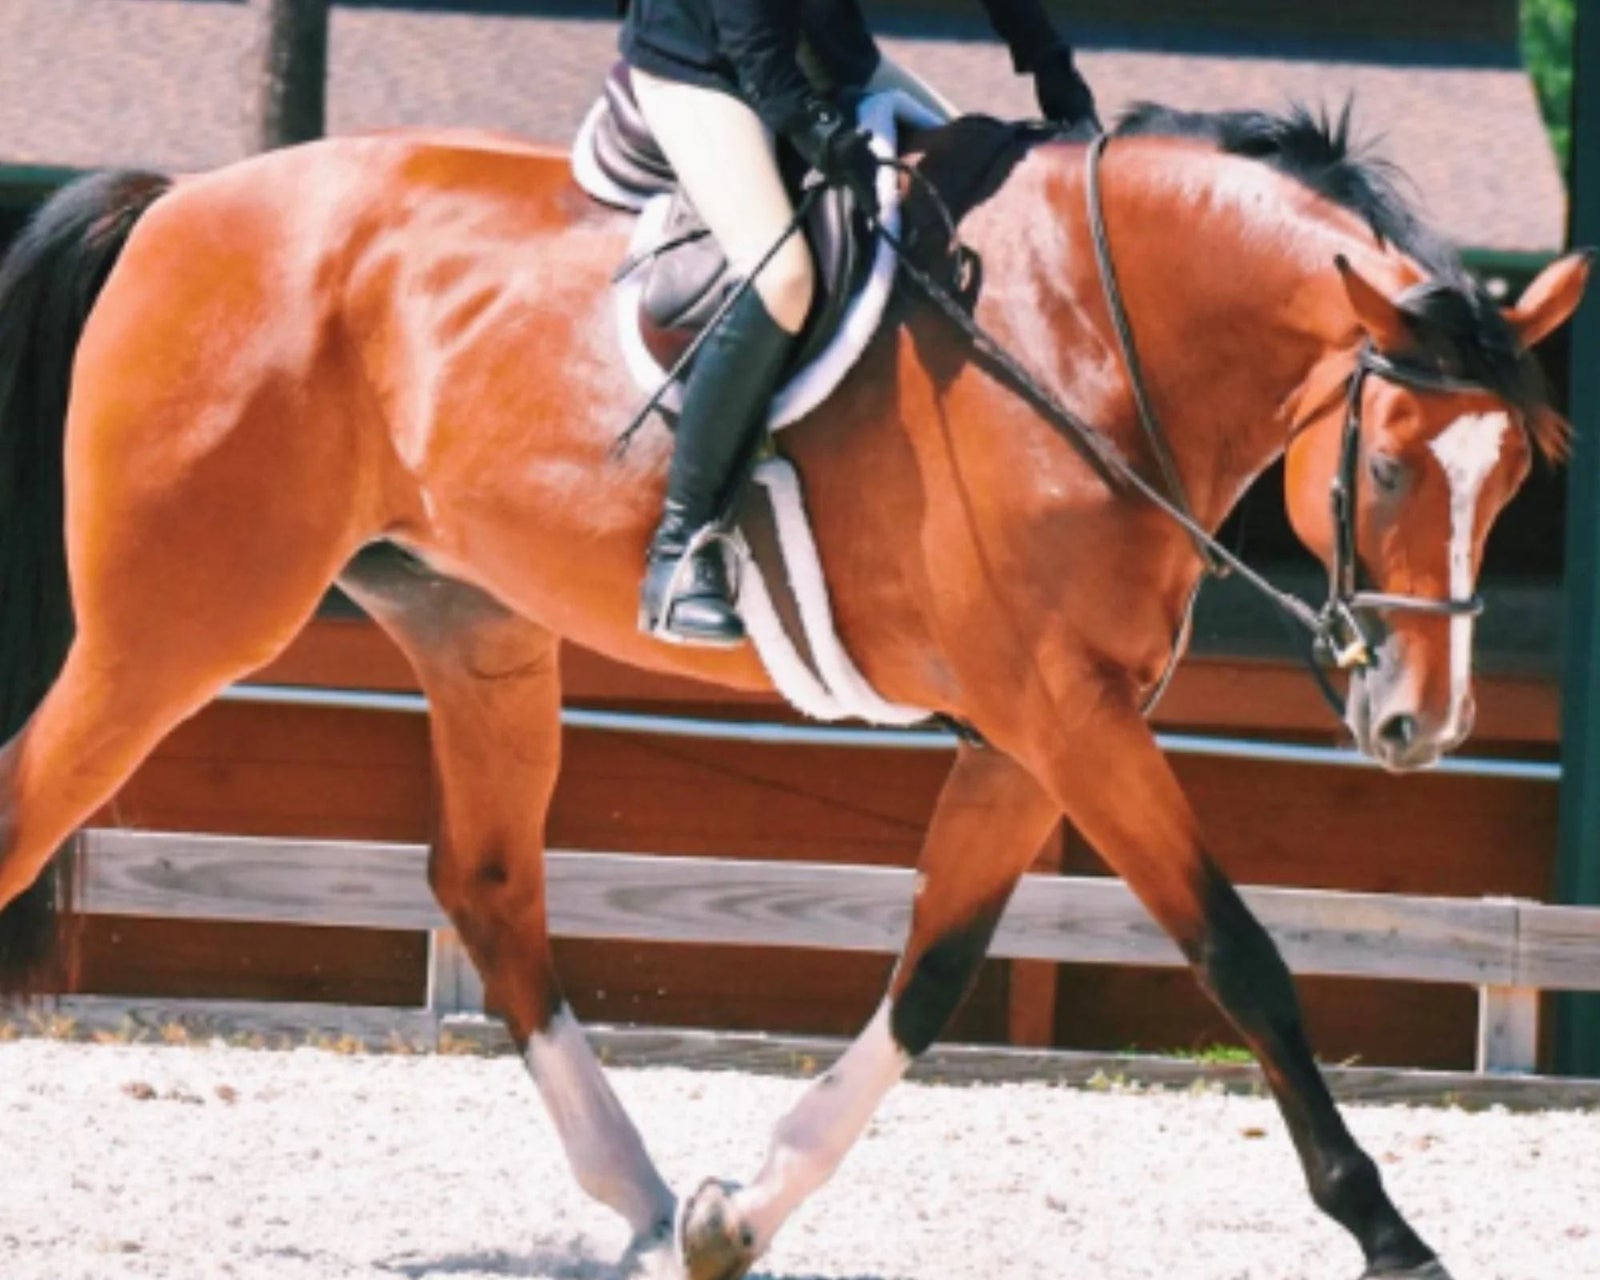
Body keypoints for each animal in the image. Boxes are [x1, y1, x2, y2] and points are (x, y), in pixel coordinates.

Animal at [0, 100, 1586, 1280]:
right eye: (1389, 466)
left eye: (1512, 477)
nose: (1420, 724)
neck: (1086, 333)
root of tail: (178, 203)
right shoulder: (1064, 715)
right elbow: (1239, 954)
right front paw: (1385, 1226)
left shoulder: (1040, 730)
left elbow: (935, 968)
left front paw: (733, 1213)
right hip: (176, 626)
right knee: (33, 803)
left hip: (474, 629)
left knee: (488, 888)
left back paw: (640, 1197)